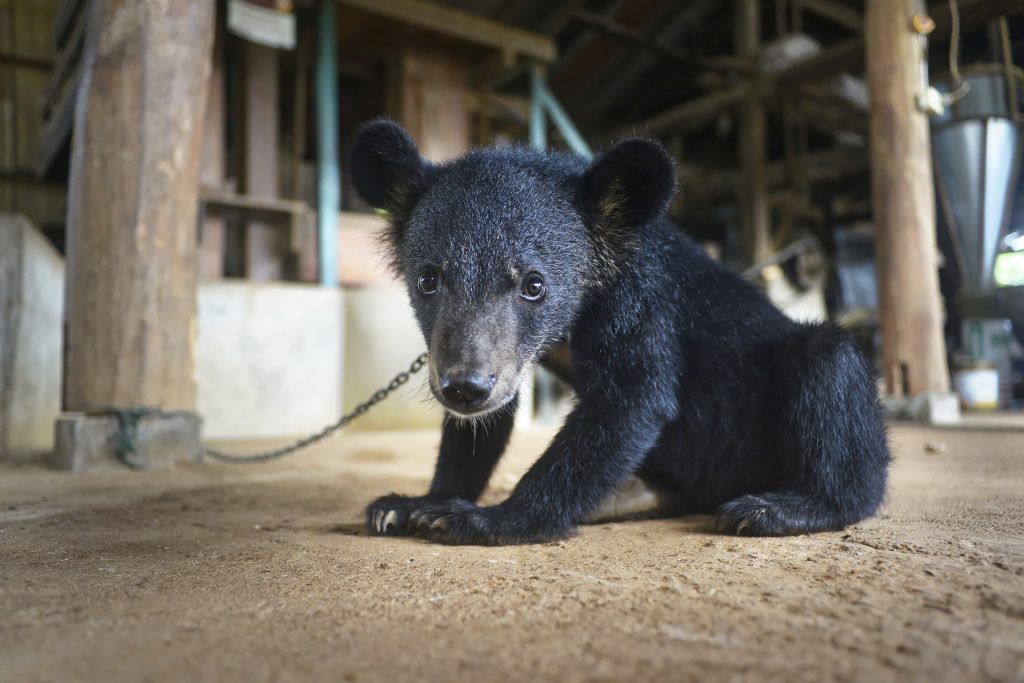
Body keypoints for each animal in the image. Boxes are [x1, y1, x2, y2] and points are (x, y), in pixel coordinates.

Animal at [348, 119, 890, 546]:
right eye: (428, 280)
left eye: (534, 285)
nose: (465, 388)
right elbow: (490, 422)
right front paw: (414, 503)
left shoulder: (641, 303)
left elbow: (632, 399)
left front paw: (482, 519)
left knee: (830, 360)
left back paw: (781, 507)